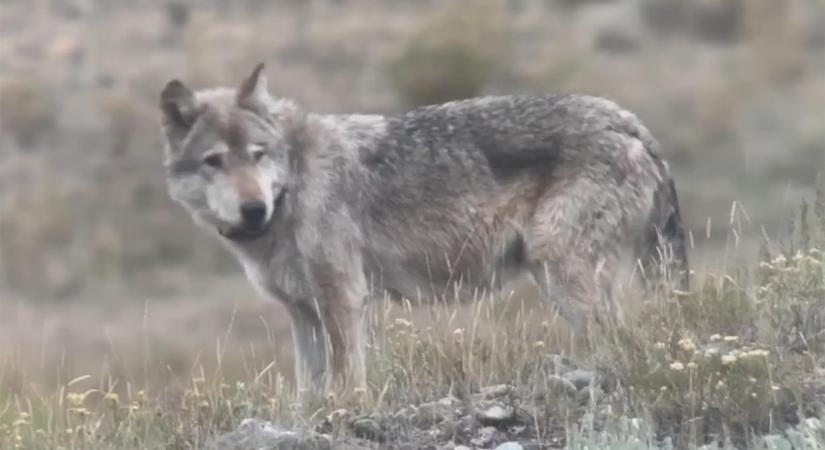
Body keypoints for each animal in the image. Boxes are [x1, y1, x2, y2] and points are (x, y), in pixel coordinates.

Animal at [158, 62, 684, 394]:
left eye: (257, 154)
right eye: (214, 162)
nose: (253, 209)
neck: (293, 184)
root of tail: (631, 122)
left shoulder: (342, 298)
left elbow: (346, 381)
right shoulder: (302, 312)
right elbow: (308, 391)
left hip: (562, 275)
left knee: (622, 344)